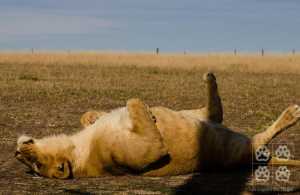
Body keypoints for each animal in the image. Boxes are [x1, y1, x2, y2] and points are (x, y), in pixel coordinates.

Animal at [14, 72, 300, 178]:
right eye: (37, 165)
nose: (17, 153)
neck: (78, 147)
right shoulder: (144, 152)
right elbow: (151, 143)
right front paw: (142, 107)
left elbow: (86, 115)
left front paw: (95, 115)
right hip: (231, 145)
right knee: (253, 135)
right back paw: (292, 114)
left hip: (196, 116)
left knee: (213, 111)